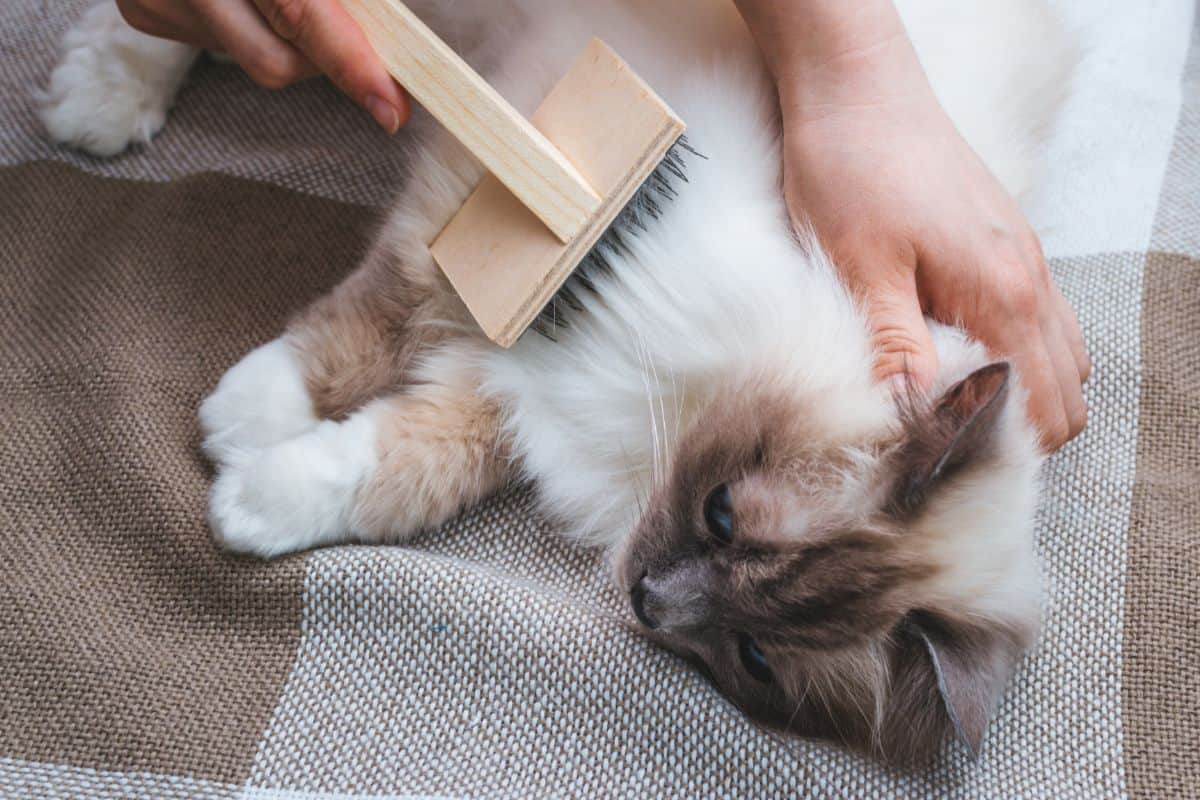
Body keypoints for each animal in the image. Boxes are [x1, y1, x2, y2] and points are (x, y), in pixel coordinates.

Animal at [39, 0, 1080, 762]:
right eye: (723, 514)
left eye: (752, 657)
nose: (650, 601)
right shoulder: (485, 202)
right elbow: (360, 327)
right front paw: (244, 415)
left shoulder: (527, 397)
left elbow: (396, 467)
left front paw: (252, 498)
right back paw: (99, 98)